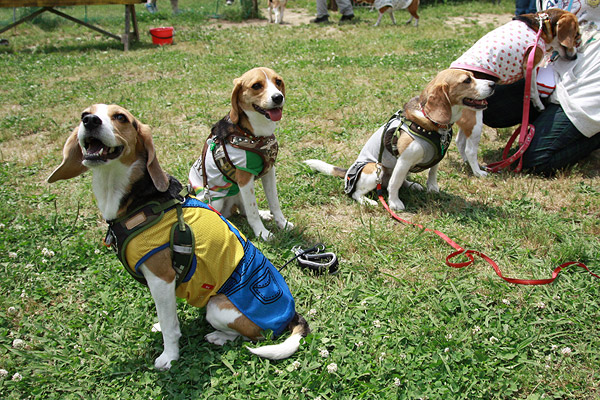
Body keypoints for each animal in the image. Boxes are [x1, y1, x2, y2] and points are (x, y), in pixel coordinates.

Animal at [47, 104, 310, 372]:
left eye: (121, 117)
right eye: (84, 114)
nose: (90, 121)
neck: (138, 201)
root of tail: (291, 314)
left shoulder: (161, 278)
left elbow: (171, 327)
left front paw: (169, 356)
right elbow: (166, 316)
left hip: (217, 307)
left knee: (251, 336)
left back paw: (219, 336)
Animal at [186, 67, 292, 241]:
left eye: (278, 81)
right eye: (256, 85)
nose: (278, 97)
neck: (254, 134)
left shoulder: (269, 172)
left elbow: (274, 202)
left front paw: (282, 223)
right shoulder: (244, 177)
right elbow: (252, 210)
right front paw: (262, 233)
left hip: (238, 192)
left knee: (242, 209)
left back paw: (264, 214)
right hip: (216, 199)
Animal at [304, 69, 496, 212]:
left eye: (473, 76)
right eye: (467, 80)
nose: (493, 84)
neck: (433, 125)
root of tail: (347, 173)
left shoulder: (437, 156)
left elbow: (432, 173)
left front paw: (432, 188)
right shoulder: (404, 160)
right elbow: (394, 184)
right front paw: (395, 203)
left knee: (400, 180)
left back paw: (413, 185)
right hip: (375, 168)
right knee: (358, 193)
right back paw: (369, 202)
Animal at [452, 7, 580, 176]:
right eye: (577, 36)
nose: (576, 57)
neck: (540, 25)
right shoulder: (530, 64)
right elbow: (533, 89)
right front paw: (538, 104)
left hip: (468, 121)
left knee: (460, 142)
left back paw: (468, 164)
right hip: (475, 121)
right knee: (469, 150)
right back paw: (479, 172)